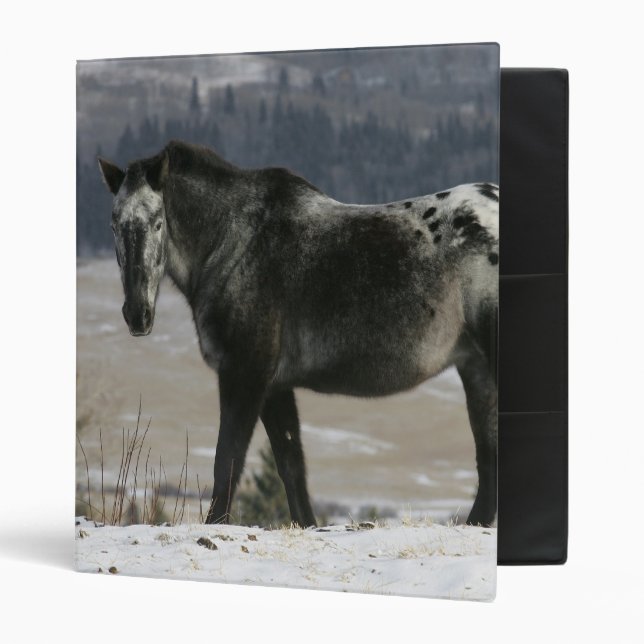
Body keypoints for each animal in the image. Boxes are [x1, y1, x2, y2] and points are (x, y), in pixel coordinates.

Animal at [98, 139, 498, 527]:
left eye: (157, 223)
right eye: (114, 224)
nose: (137, 315)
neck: (234, 243)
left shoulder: (244, 375)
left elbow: (228, 460)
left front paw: (214, 525)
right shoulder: (274, 385)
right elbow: (291, 463)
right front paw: (307, 525)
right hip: (476, 369)